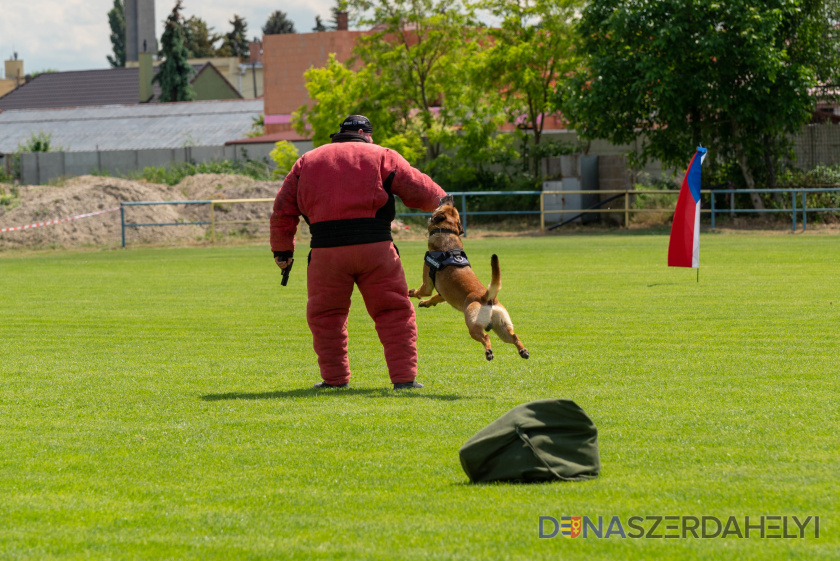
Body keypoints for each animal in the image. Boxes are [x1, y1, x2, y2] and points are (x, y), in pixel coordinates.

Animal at [406, 201, 528, 364]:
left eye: (444, 205)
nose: (449, 197)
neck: (448, 234)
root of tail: (487, 297)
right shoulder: (442, 294)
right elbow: (434, 298)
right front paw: (425, 303)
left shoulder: (427, 283)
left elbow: (421, 291)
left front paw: (412, 293)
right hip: (502, 327)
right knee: (514, 337)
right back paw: (523, 351)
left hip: (473, 324)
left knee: (486, 337)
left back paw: (489, 352)